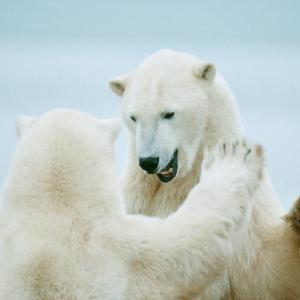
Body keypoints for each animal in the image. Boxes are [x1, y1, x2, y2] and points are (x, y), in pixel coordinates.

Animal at [109, 49, 300, 300]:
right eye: (133, 117)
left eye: (168, 114)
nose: (149, 161)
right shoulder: (136, 201)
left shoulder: (247, 230)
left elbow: (269, 272)